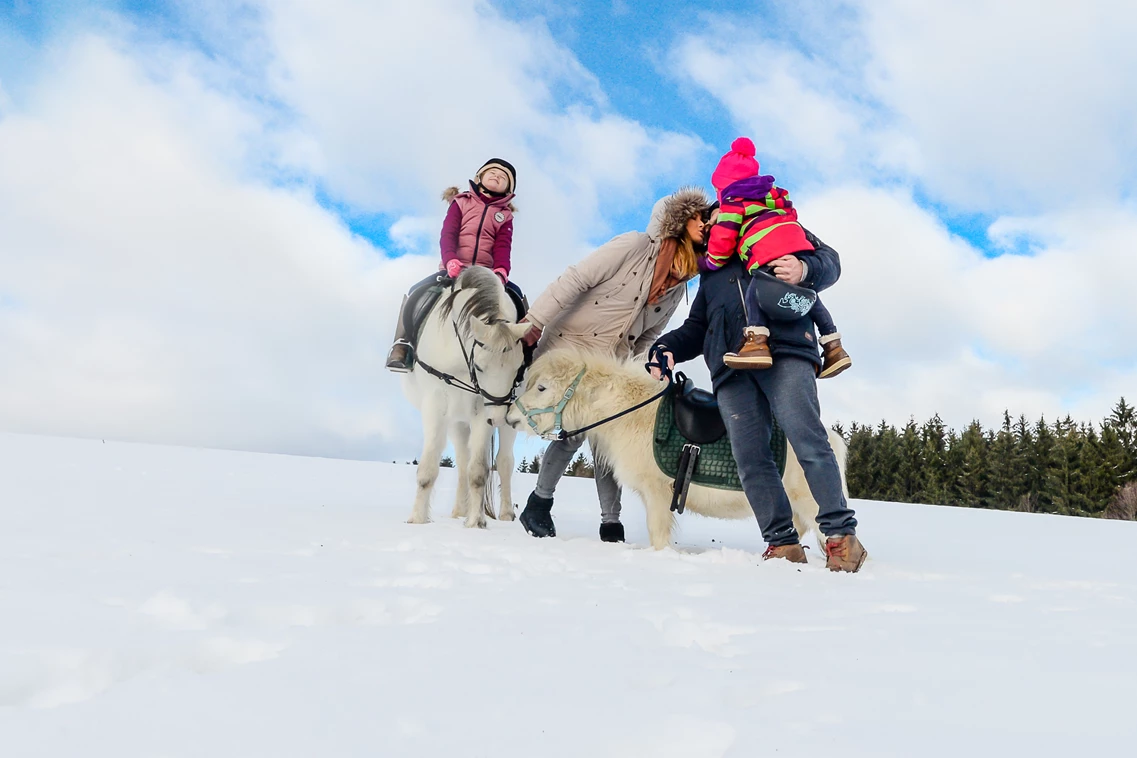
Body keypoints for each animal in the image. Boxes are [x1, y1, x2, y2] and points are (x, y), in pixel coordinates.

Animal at [402, 269, 529, 531]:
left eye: (518, 368)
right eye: (479, 366)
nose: (498, 418)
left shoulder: (483, 410)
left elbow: (479, 470)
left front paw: (475, 522)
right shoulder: (436, 406)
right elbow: (429, 467)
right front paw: (417, 519)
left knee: (504, 462)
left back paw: (505, 514)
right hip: (457, 420)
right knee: (461, 461)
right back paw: (459, 511)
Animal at [502, 350, 850, 552]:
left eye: (542, 387)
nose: (511, 418)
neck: (632, 412)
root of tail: (830, 439)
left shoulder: (658, 494)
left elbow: (658, 535)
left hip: (811, 503)